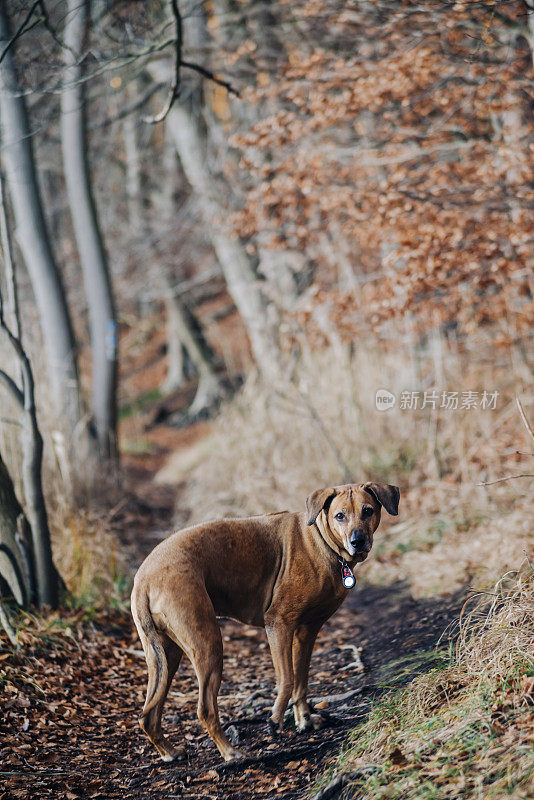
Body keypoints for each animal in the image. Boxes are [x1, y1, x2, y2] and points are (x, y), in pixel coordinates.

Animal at [132, 482, 400, 764]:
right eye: (340, 516)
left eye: (368, 511)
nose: (358, 541)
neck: (320, 543)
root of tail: (144, 579)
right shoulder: (279, 624)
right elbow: (288, 678)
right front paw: (275, 718)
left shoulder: (307, 631)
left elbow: (302, 678)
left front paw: (304, 720)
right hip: (208, 645)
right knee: (205, 709)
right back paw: (231, 753)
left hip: (164, 655)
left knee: (148, 714)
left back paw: (169, 752)